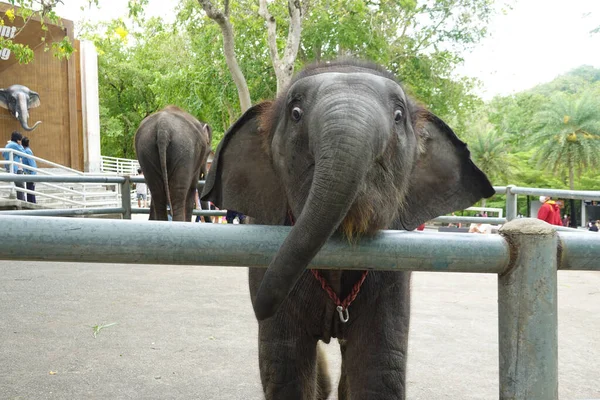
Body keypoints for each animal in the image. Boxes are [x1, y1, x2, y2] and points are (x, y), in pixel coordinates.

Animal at [202, 60, 492, 400]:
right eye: (296, 113)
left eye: (398, 116)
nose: (259, 310)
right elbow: (285, 367)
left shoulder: (392, 280)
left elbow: (378, 368)